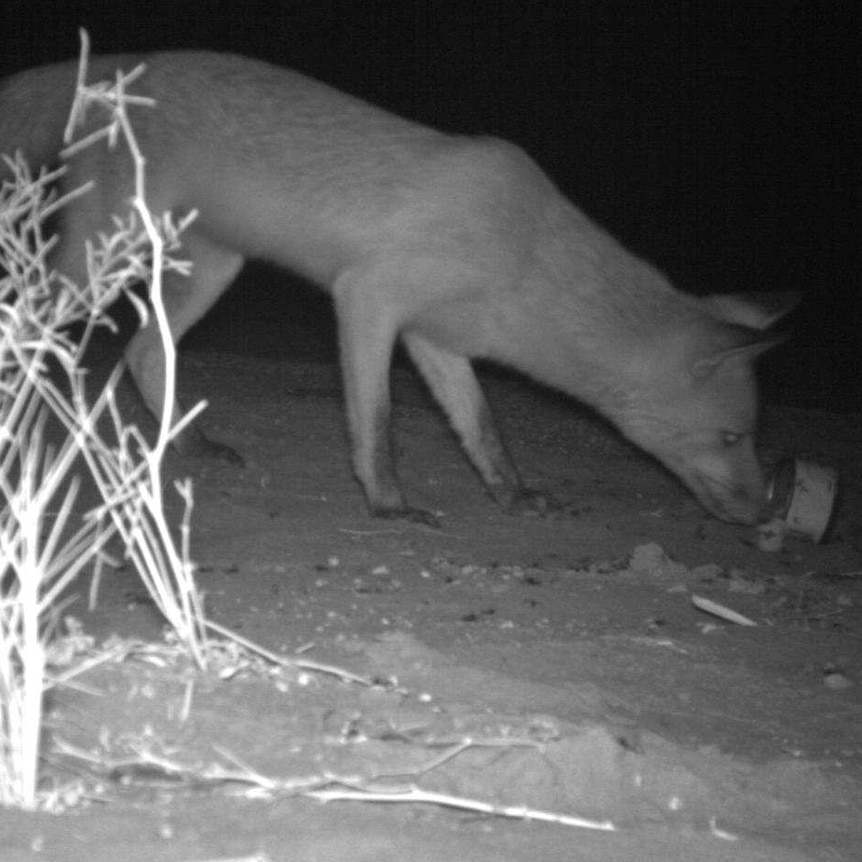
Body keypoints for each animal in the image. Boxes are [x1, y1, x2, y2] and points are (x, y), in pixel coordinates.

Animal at [0, 52, 804, 528]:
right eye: (733, 437)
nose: (763, 515)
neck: (525, 257)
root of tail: (115, 67)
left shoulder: (437, 338)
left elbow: (483, 429)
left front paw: (511, 494)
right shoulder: (368, 298)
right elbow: (378, 423)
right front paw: (388, 504)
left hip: (212, 269)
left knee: (142, 354)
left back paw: (187, 442)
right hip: (101, 259)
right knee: (32, 318)